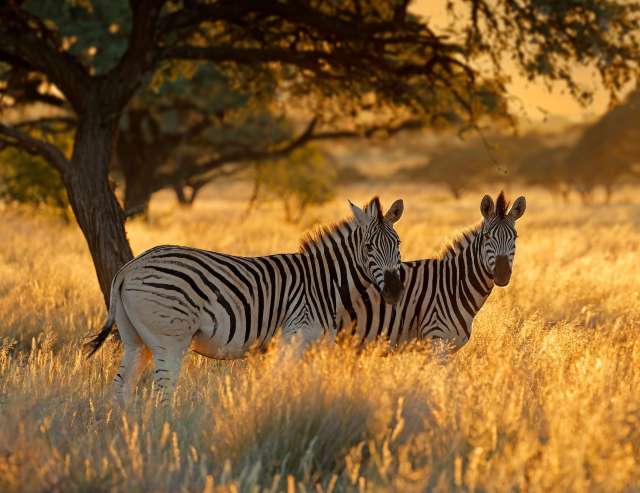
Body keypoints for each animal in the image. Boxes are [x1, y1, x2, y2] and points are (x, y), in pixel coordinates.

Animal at [85, 197, 405, 404]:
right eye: (368, 247)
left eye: (398, 244)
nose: (394, 290)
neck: (323, 283)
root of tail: (129, 267)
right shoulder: (294, 336)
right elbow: (281, 381)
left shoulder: (314, 345)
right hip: (169, 339)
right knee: (163, 389)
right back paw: (168, 433)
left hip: (135, 339)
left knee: (121, 388)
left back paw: (125, 434)